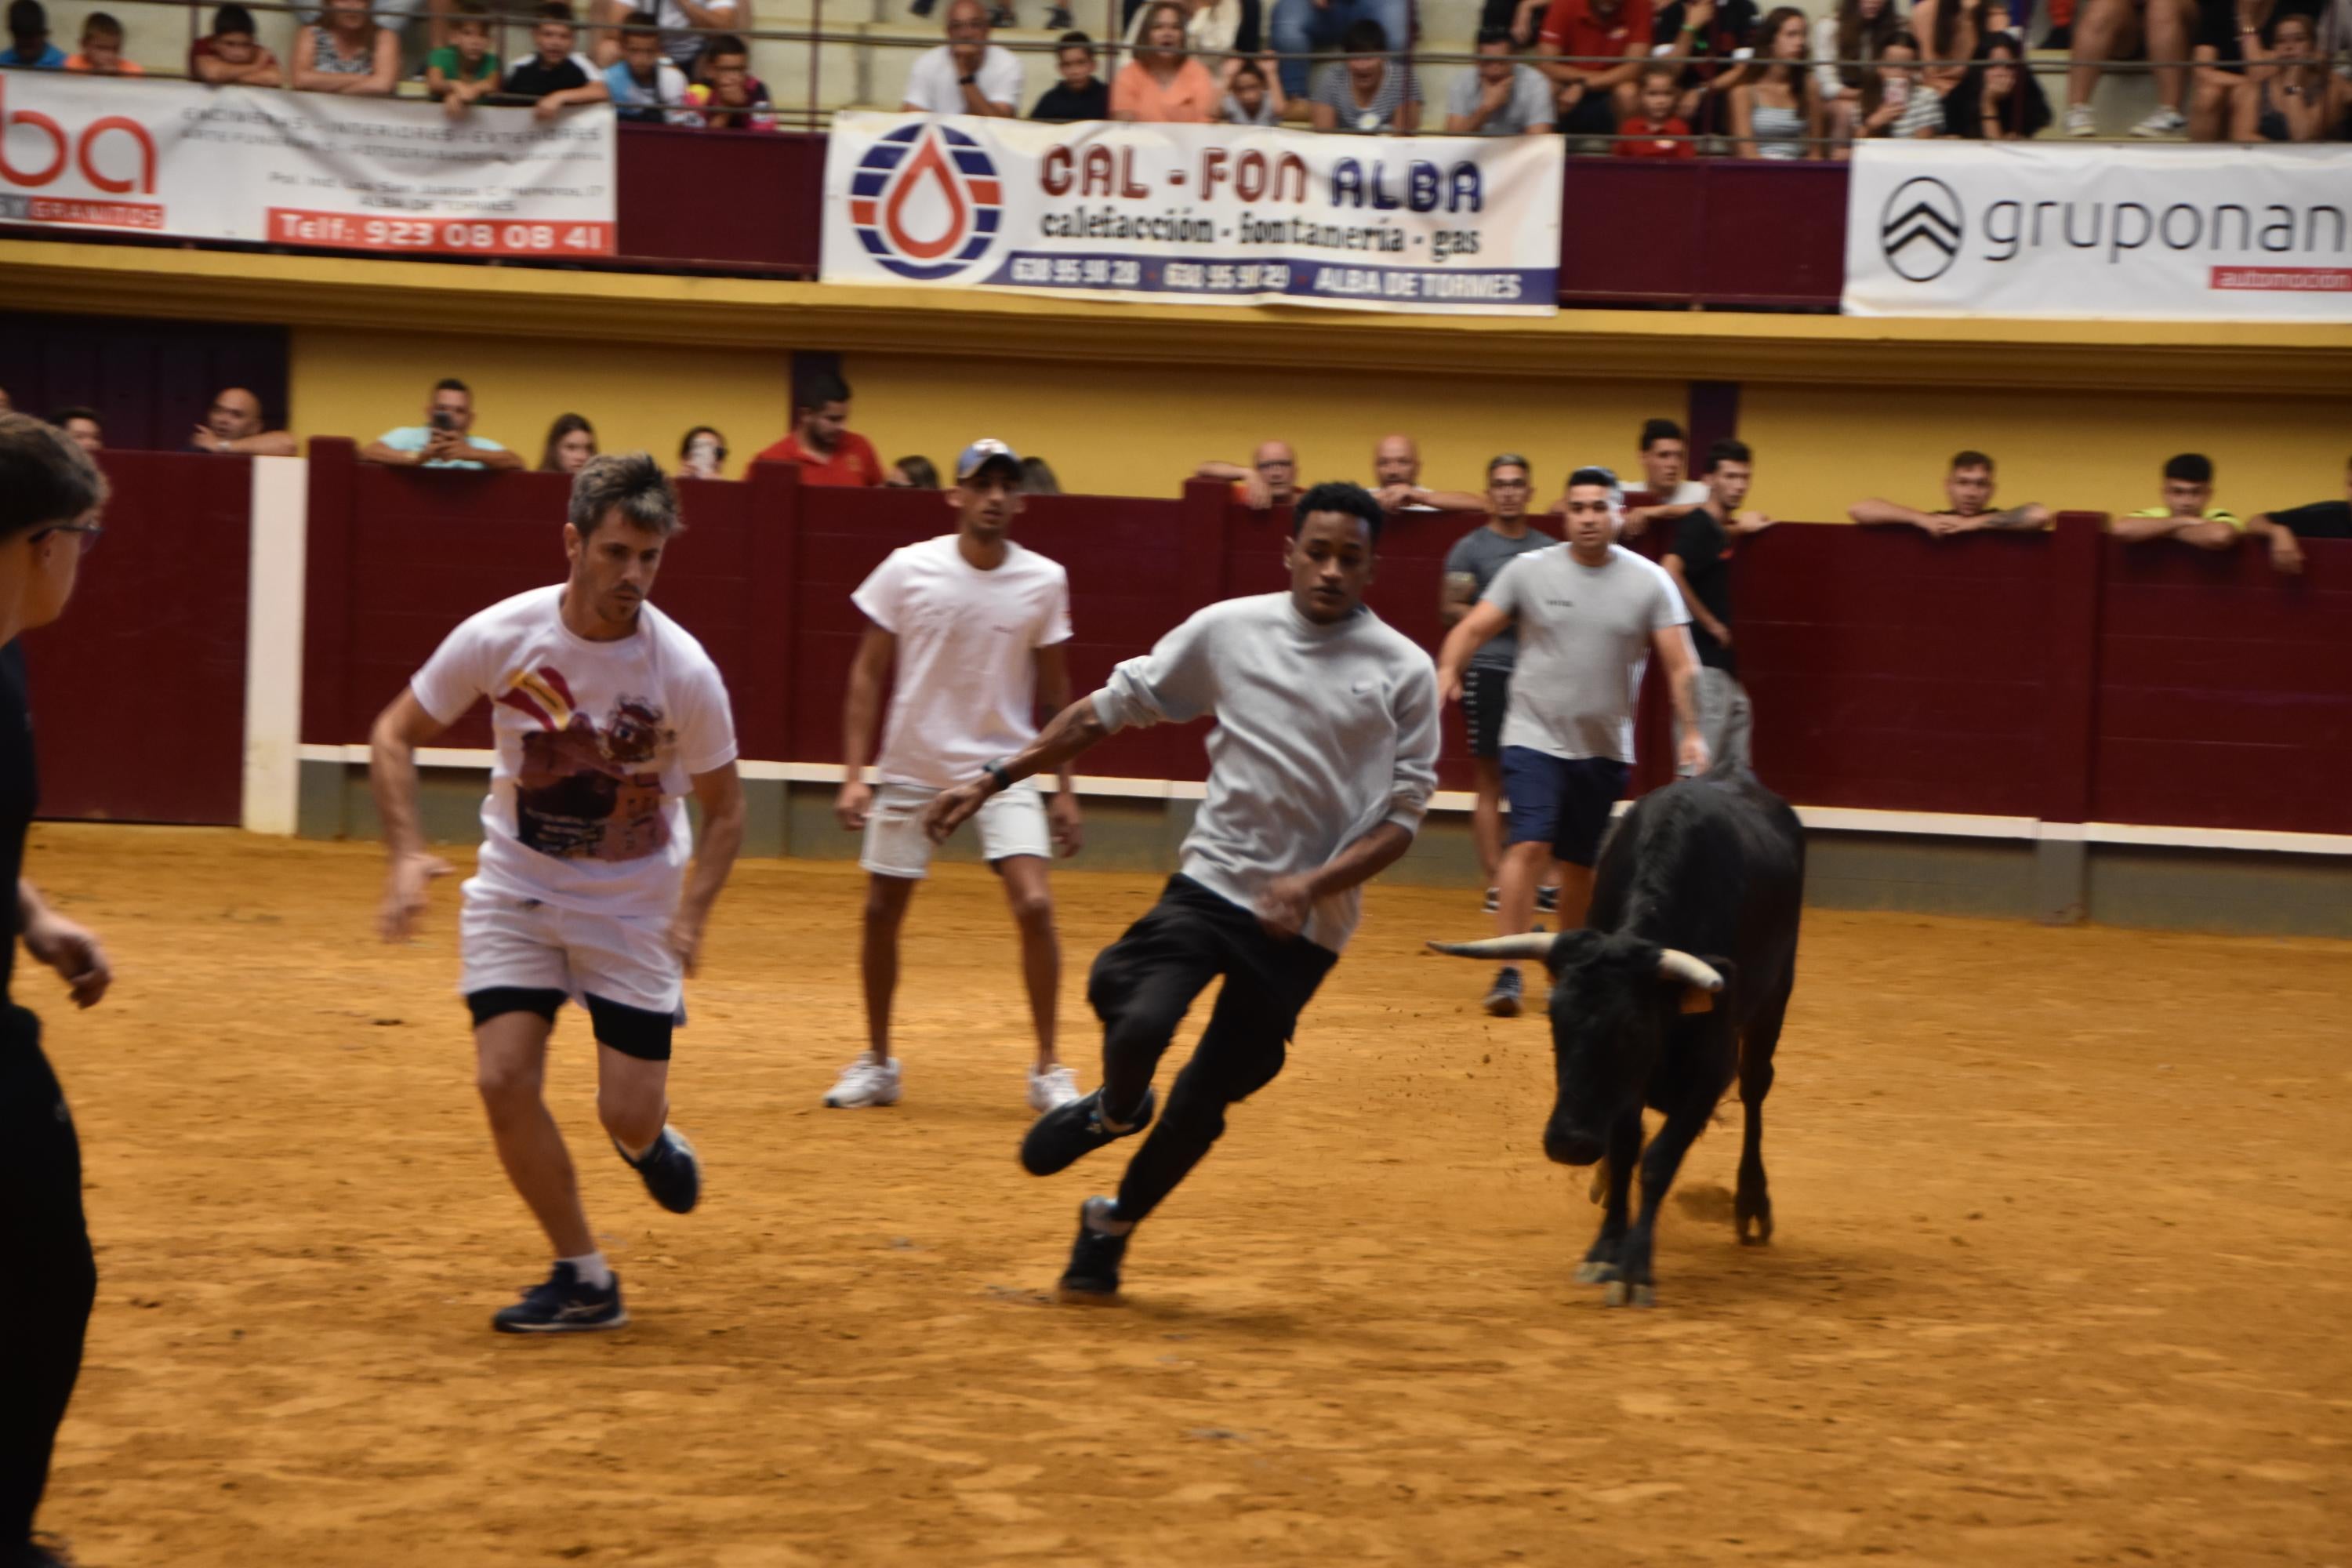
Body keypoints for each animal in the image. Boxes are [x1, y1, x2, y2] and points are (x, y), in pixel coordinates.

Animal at [1430, 771, 1797, 1316]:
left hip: (1774, 1002)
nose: (1569, 1143)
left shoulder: (1709, 1074)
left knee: (1755, 1089)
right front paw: (1605, 1250)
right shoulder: (1627, 1088)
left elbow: (1658, 1160)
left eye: (1632, 1028)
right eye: (1555, 1023)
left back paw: (1751, 1204)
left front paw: (1635, 1270)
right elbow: (1627, 1150)